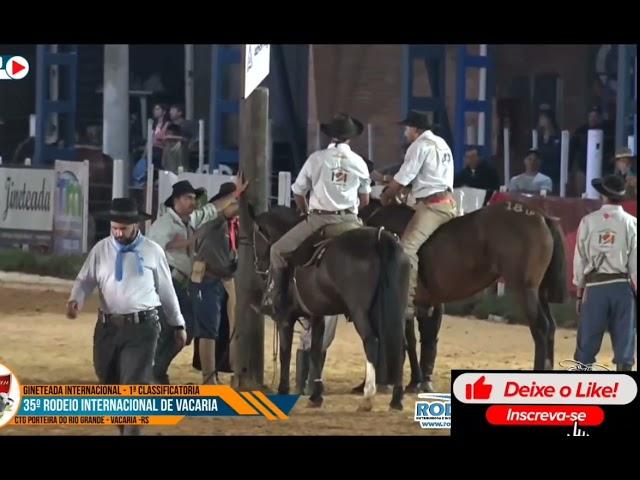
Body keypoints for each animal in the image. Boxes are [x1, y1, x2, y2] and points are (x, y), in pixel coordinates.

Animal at [250, 204, 410, 410]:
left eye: (255, 239)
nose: (258, 266)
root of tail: (380, 237)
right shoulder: (317, 316)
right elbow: (315, 352)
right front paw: (316, 395)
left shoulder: (285, 319)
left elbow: (285, 354)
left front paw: (283, 389)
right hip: (395, 310)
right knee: (400, 345)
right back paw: (396, 399)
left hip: (361, 313)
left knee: (372, 341)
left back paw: (368, 397)